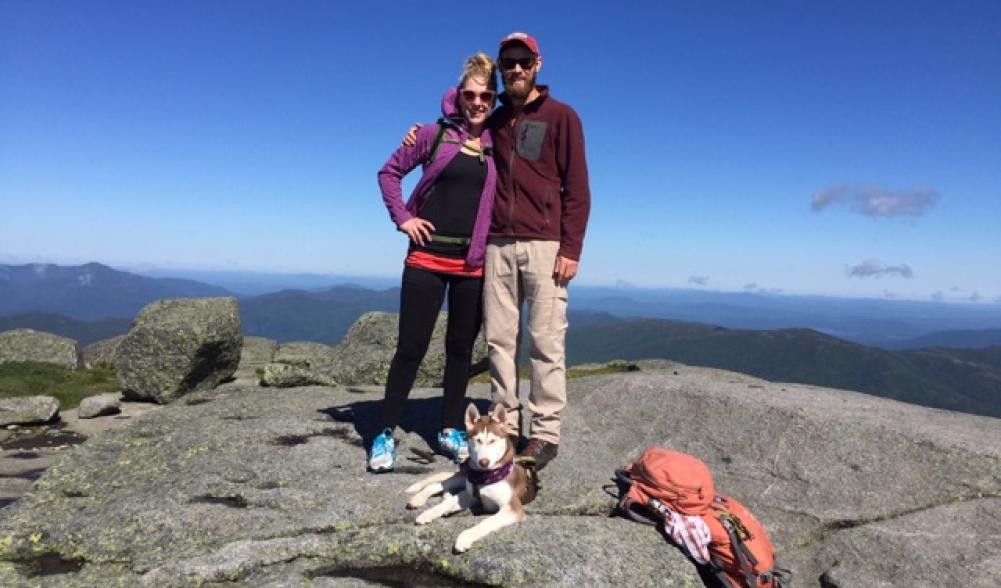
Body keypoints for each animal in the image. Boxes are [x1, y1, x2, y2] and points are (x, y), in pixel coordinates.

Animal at [404, 402, 536, 552]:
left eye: (492, 441)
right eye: (477, 440)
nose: (483, 462)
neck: (486, 475)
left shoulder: (513, 508)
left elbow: (486, 521)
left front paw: (464, 537)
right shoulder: (470, 493)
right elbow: (446, 503)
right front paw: (428, 513)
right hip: (463, 478)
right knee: (436, 485)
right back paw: (418, 499)